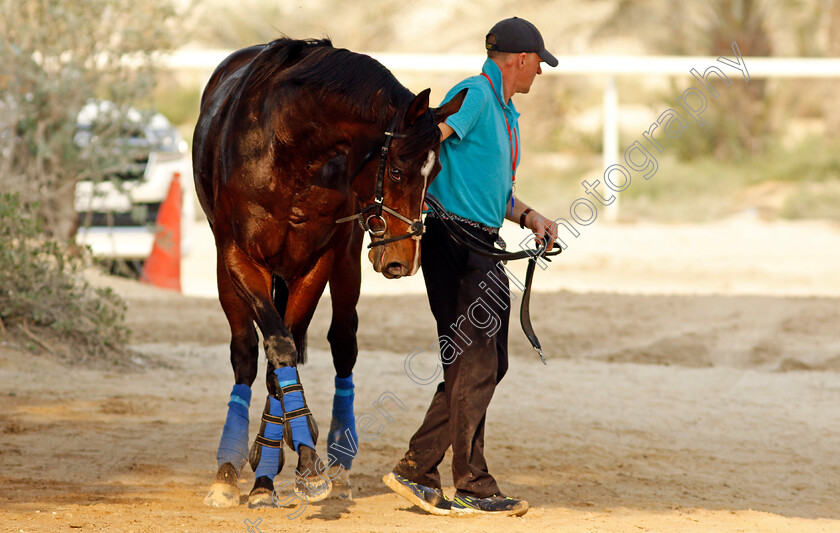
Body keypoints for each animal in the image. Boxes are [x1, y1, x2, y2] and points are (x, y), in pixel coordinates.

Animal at [191, 37, 466, 508]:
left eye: (438, 173)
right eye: (397, 170)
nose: (405, 260)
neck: (285, 151)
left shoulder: (318, 259)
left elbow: (283, 354)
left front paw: (296, 464)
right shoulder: (238, 257)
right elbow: (275, 347)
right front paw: (263, 469)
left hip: (347, 261)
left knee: (342, 344)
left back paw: (334, 460)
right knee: (245, 354)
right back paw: (227, 471)